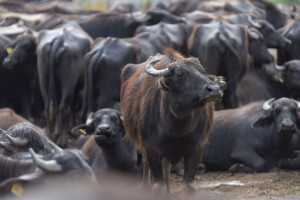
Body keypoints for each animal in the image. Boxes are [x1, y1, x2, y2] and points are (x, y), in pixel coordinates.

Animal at [120, 50, 224, 194]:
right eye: (180, 74)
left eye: (203, 71)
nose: (214, 89)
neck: (177, 127)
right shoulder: (151, 148)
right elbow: (159, 186)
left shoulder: (196, 149)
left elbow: (187, 186)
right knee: (147, 166)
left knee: (166, 167)